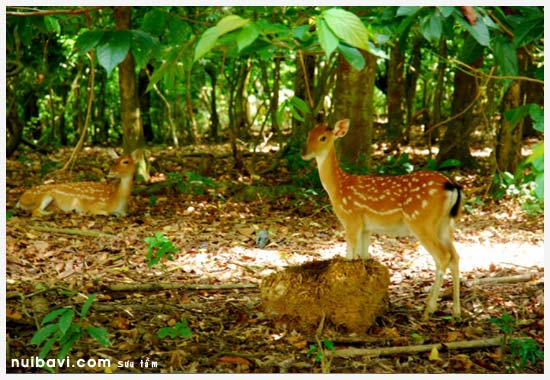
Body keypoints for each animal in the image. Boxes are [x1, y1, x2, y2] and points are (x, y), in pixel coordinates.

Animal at [302, 117, 466, 320]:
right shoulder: (366, 228)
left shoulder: (351, 218)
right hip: (445, 224)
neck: (338, 188)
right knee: (455, 256)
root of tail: (452, 186)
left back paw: (428, 310)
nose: (304, 153)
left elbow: (350, 256)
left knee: (443, 256)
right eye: (309, 134)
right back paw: (456, 311)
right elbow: (363, 256)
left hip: (421, 221)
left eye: (323, 138)